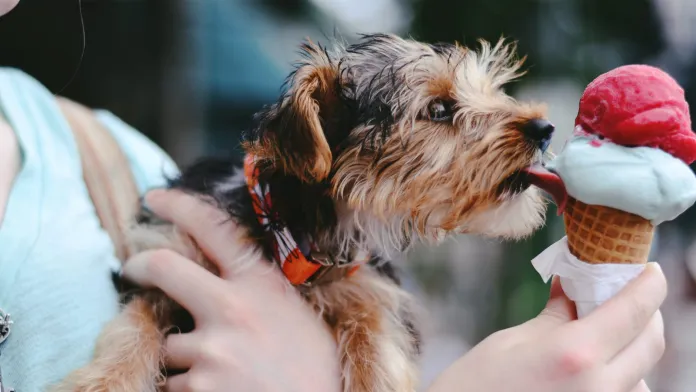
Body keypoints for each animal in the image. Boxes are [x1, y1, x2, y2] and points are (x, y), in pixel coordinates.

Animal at [53, 33, 556, 392]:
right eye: (438, 109)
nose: (545, 127)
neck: (293, 232)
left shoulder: (370, 290)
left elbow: (376, 338)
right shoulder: (165, 254)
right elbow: (134, 325)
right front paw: (105, 383)